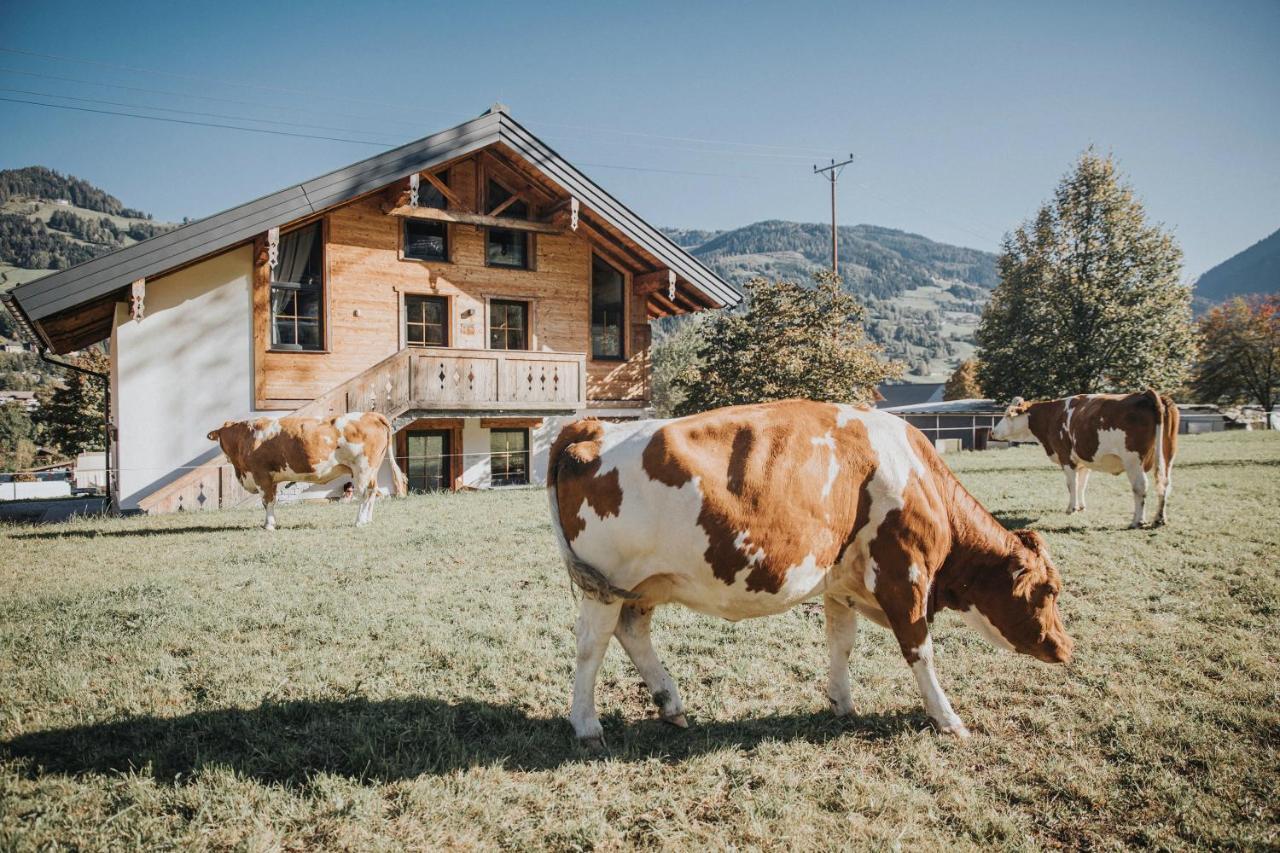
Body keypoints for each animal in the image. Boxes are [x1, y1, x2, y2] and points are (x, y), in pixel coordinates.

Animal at [208, 409, 404, 527]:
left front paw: (269, 525)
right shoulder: (272, 478)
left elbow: (267, 501)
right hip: (372, 470)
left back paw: (359, 521)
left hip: (362, 469)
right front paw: (269, 523)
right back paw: (368, 520)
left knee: (364, 494)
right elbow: (271, 501)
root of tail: (370, 414)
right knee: (373, 491)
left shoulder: (261, 475)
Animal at [545, 399, 1075, 742]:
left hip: (642, 585)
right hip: (605, 585)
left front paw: (842, 702)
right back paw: (586, 725)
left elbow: (841, 641)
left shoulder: (842, 581)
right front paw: (948, 719)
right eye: (1049, 591)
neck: (920, 479)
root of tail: (592, 428)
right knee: (592, 644)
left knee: (632, 631)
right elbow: (919, 651)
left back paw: (671, 704)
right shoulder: (904, 575)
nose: (1066, 648)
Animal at [988, 389, 1177, 525]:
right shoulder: (1084, 461)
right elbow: (1081, 485)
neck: (1052, 415)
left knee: (1140, 487)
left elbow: (1071, 484)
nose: (993, 432)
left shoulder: (1065, 457)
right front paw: (1081, 507)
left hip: (1133, 461)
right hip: (1167, 457)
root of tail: (1146, 394)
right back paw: (1159, 518)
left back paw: (1138, 520)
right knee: (1165, 484)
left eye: (1008, 414)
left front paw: (1071, 508)